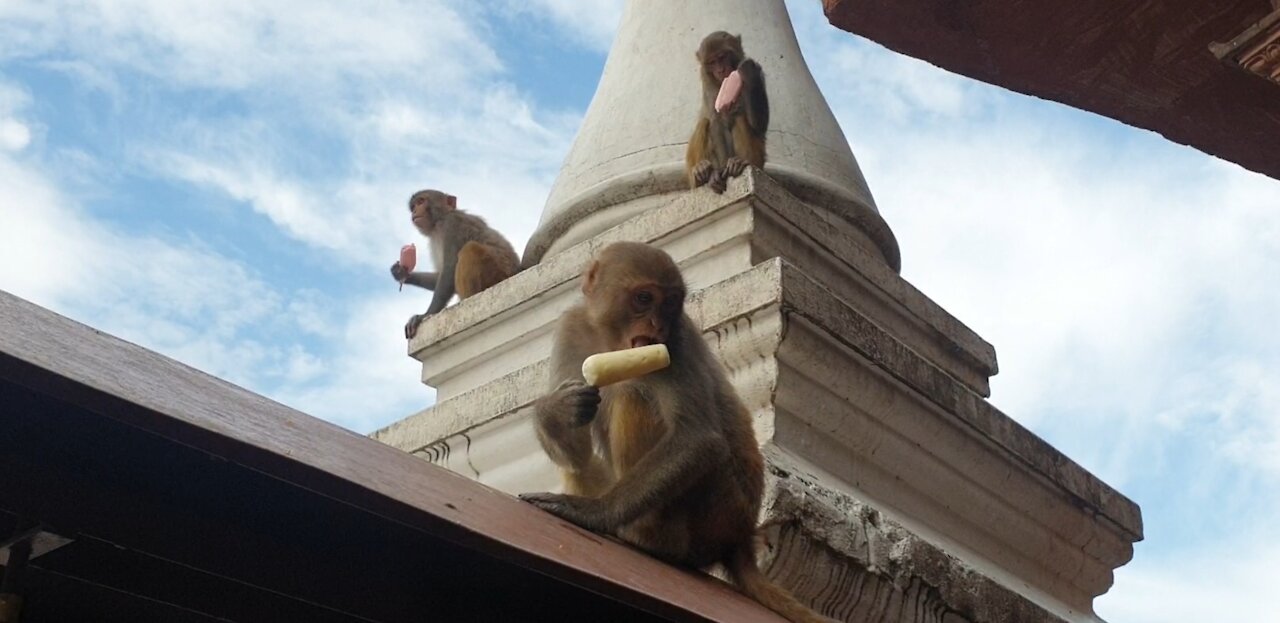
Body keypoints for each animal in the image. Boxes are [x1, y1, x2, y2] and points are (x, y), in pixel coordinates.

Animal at [394, 189, 524, 337]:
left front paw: (425, 315)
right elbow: (439, 275)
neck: (438, 222)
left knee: (470, 249)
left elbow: (449, 269)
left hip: (498, 273)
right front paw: (402, 273)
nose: (415, 211)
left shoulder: (451, 225)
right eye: (413, 206)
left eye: (421, 201)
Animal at [519, 244, 829, 623]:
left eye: (670, 304)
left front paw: (594, 512)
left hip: (716, 511)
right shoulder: (571, 330)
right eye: (643, 298)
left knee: (633, 395)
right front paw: (556, 409)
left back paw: (652, 540)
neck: (611, 342)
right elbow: (577, 454)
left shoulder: (676, 344)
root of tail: (739, 538)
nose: (658, 324)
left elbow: (698, 439)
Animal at [691, 31, 768, 194]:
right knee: (705, 122)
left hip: (759, 158)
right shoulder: (708, 86)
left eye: (722, 57)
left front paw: (747, 71)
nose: (720, 70)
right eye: (712, 62)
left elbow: (759, 125)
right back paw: (702, 173)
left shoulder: (760, 73)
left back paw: (740, 162)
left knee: (740, 116)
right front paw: (717, 174)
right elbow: (717, 124)